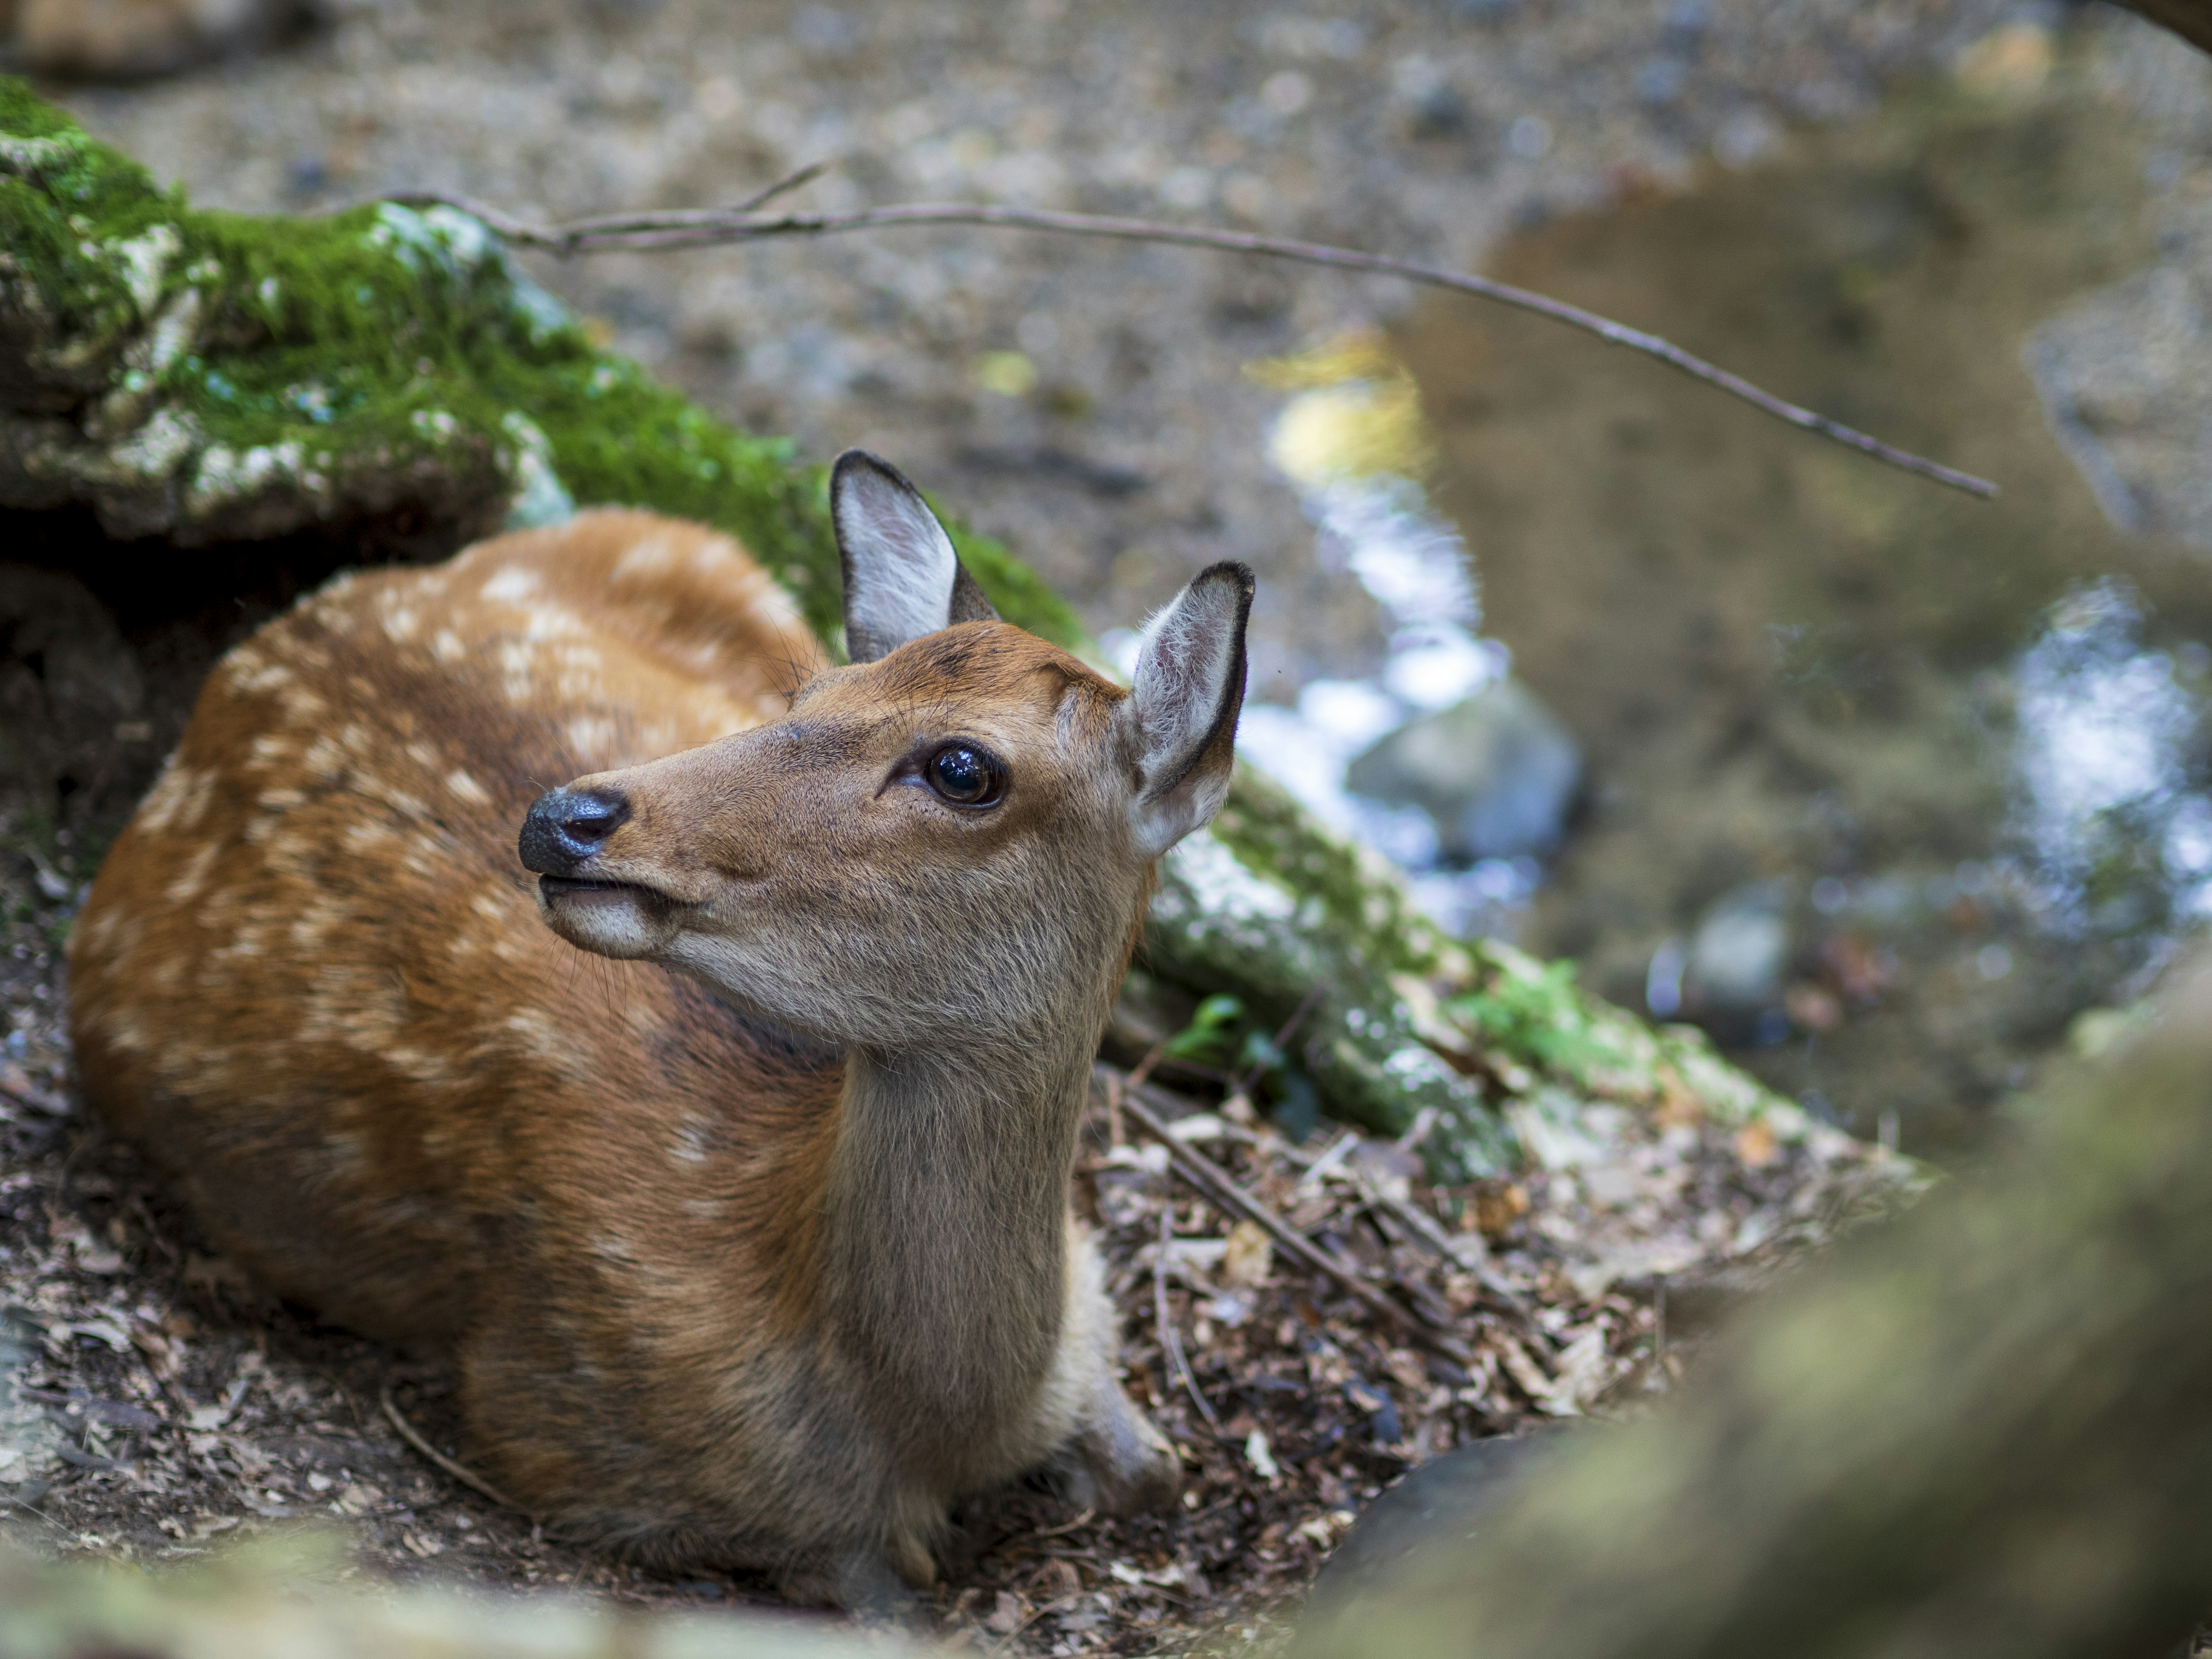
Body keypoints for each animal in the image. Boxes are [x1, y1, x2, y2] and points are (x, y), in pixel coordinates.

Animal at [69, 449, 1256, 1601]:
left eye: (965, 767)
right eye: (807, 687)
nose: (565, 818)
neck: (936, 1419)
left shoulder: (1091, 1303)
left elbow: (1156, 1473)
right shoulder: (577, 1430)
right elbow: (891, 1581)